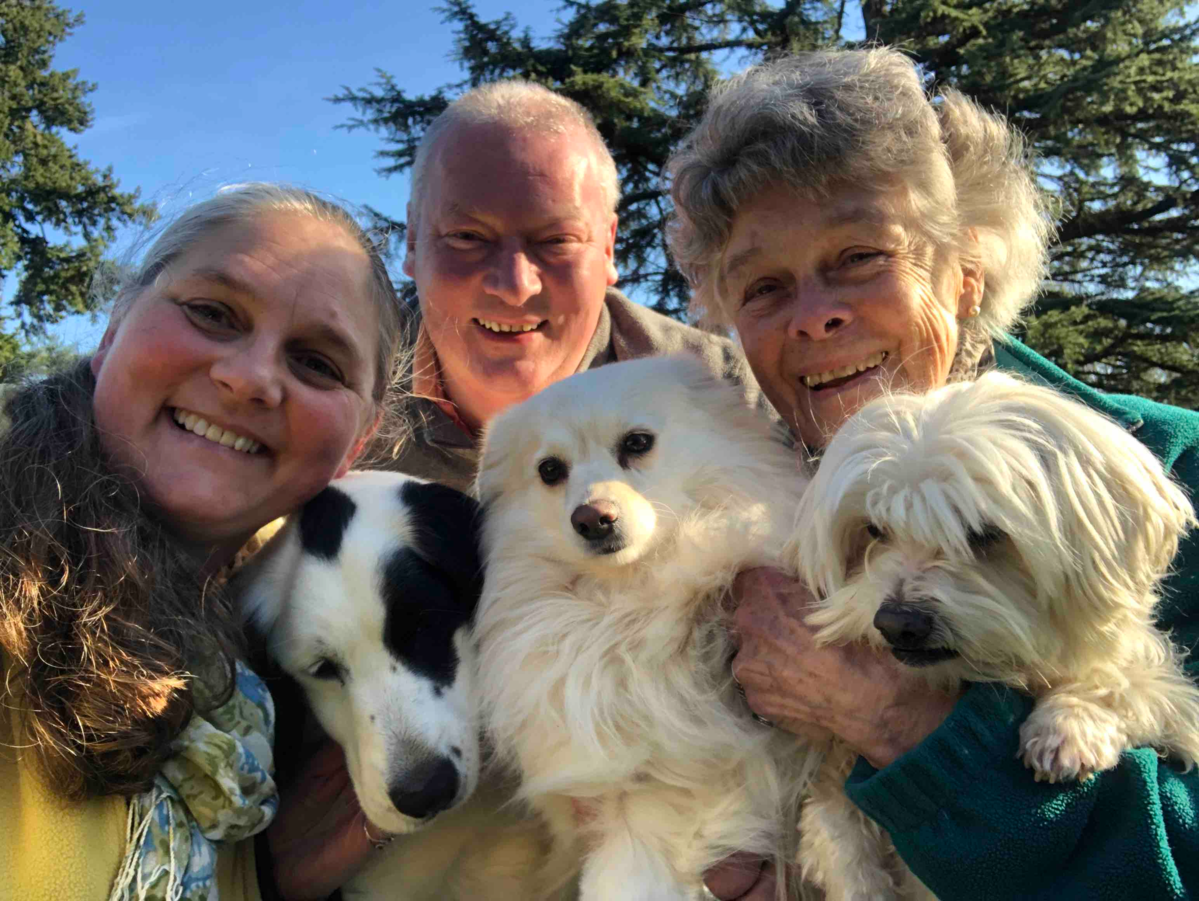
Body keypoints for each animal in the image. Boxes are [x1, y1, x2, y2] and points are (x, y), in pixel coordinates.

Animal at [789, 371, 1199, 901]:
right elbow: (838, 839)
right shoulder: (835, 781)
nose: (897, 622)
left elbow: (1129, 683)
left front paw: (1067, 724)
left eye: (983, 533)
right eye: (874, 530)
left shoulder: (1173, 698)